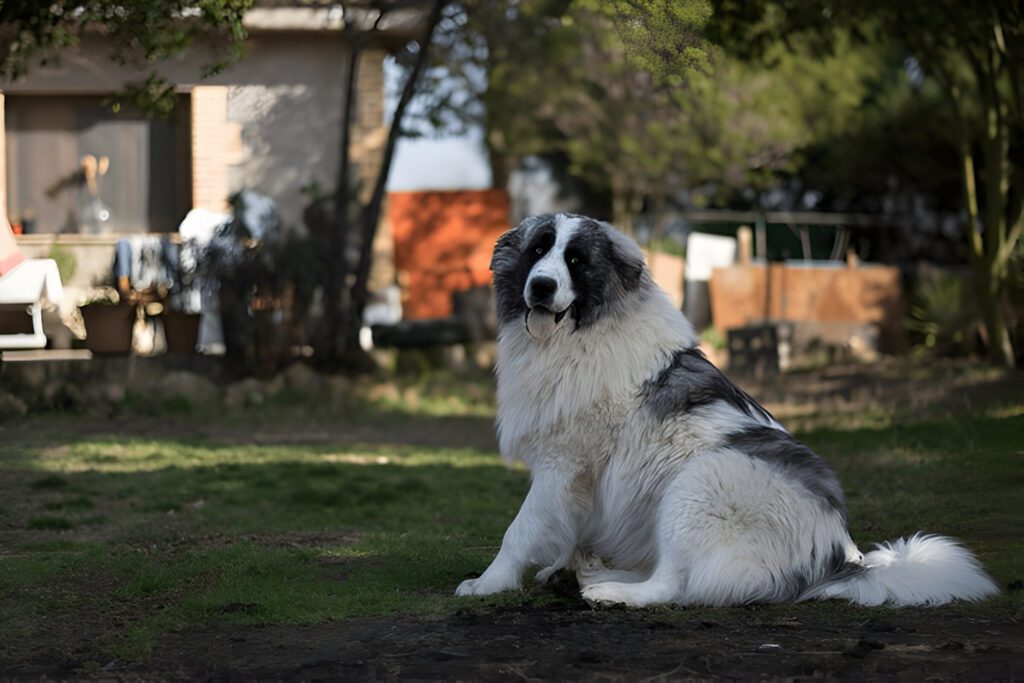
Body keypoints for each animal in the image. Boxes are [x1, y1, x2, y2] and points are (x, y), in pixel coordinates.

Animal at [458, 214, 999, 610]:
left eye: (574, 260)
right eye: (536, 252)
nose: (541, 287)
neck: (585, 332)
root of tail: (841, 557)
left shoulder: (562, 463)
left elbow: (520, 530)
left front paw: (489, 583)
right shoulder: (577, 479)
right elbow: (565, 529)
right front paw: (561, 566)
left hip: (698, 482)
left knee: (675, 585)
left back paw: (610, 589)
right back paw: (597, 572)